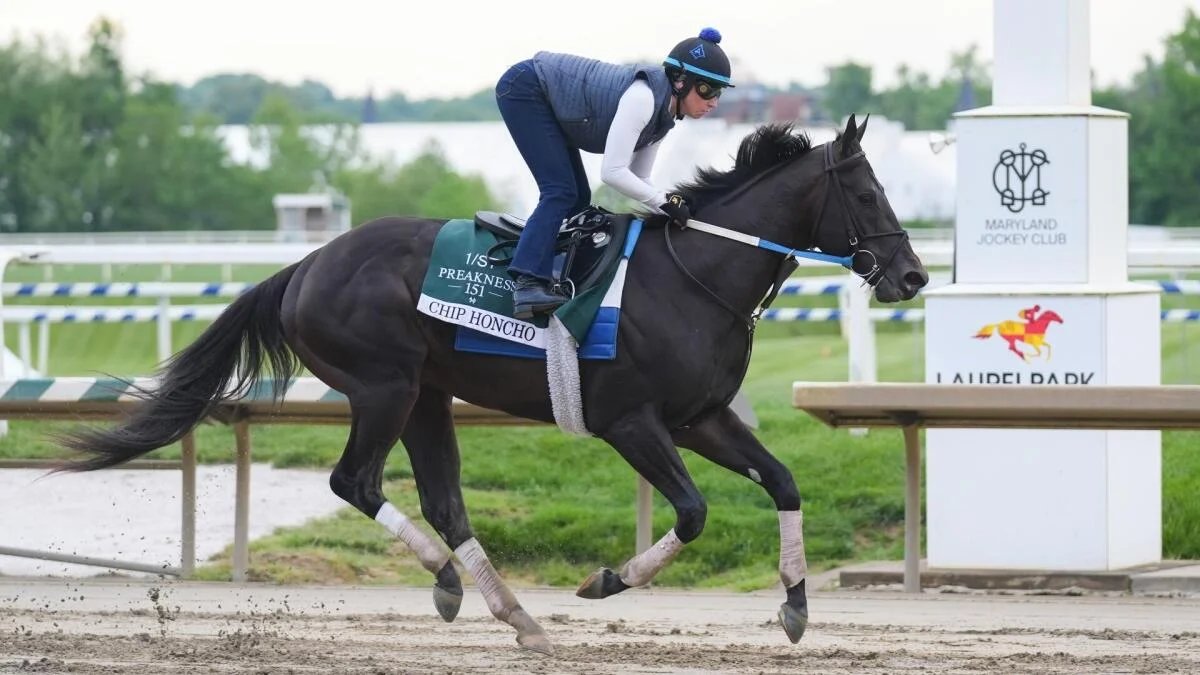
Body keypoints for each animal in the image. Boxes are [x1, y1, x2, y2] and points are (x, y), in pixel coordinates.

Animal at [56, 114, 928, 654]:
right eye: (866, 191)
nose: (914, 274)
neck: (695, 273)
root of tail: (304, 266)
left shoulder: (703, 416)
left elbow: (782, 481)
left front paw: (796, 604)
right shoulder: (632, 421)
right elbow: (692, 511)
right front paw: (607, 579)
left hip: (427, 394)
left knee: (442, 499)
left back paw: (511, 611)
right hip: (384, 385)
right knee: (354, 480)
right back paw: (454, 582)